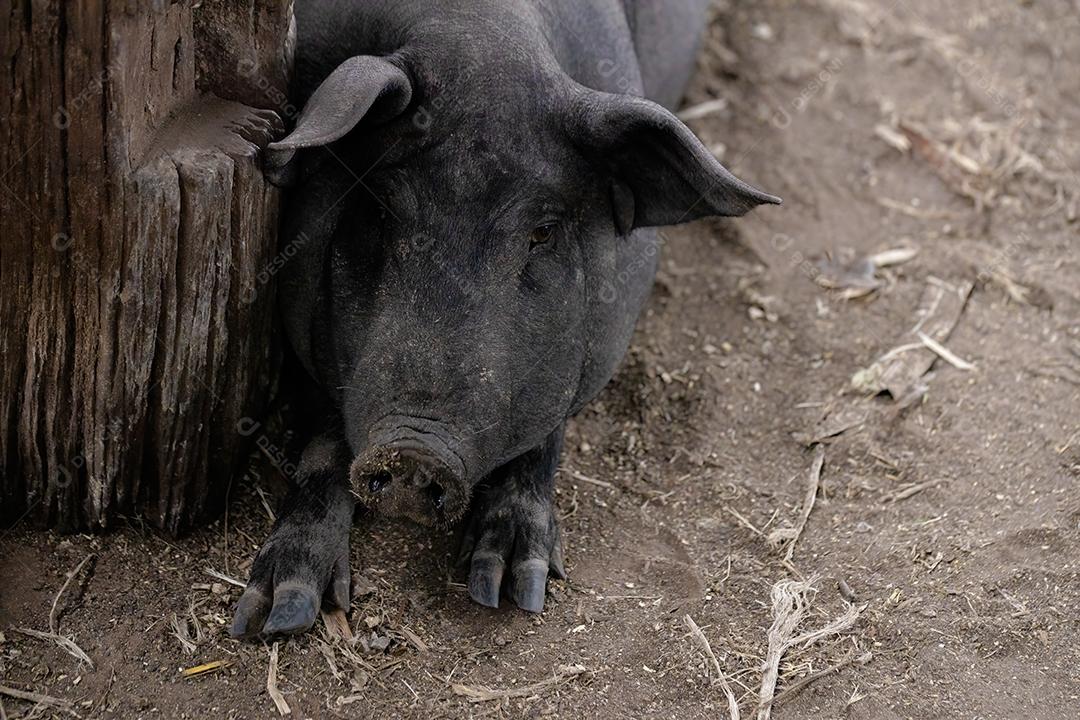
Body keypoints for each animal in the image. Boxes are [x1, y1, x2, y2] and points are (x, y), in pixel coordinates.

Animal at [231, 0, 779, 639]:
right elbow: (322, 434)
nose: (415, 451)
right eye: (380, 209)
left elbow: (546, 431)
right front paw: (276, 615)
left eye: (541, 232)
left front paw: (514, 589)